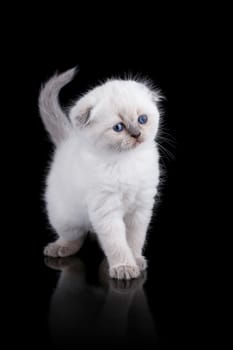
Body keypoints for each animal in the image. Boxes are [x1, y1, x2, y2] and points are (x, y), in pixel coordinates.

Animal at [39, 67, 161, 278]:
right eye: (118, 127)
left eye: (142, 119)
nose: (136, 134)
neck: (126, 162)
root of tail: (68, 140)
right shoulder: (106, 210)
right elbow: (117, 244)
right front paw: (124, 267)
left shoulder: (140, 208)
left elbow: (134, 240)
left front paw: (136, 260)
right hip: (65, 215)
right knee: (74, 236)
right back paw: (59, 248)